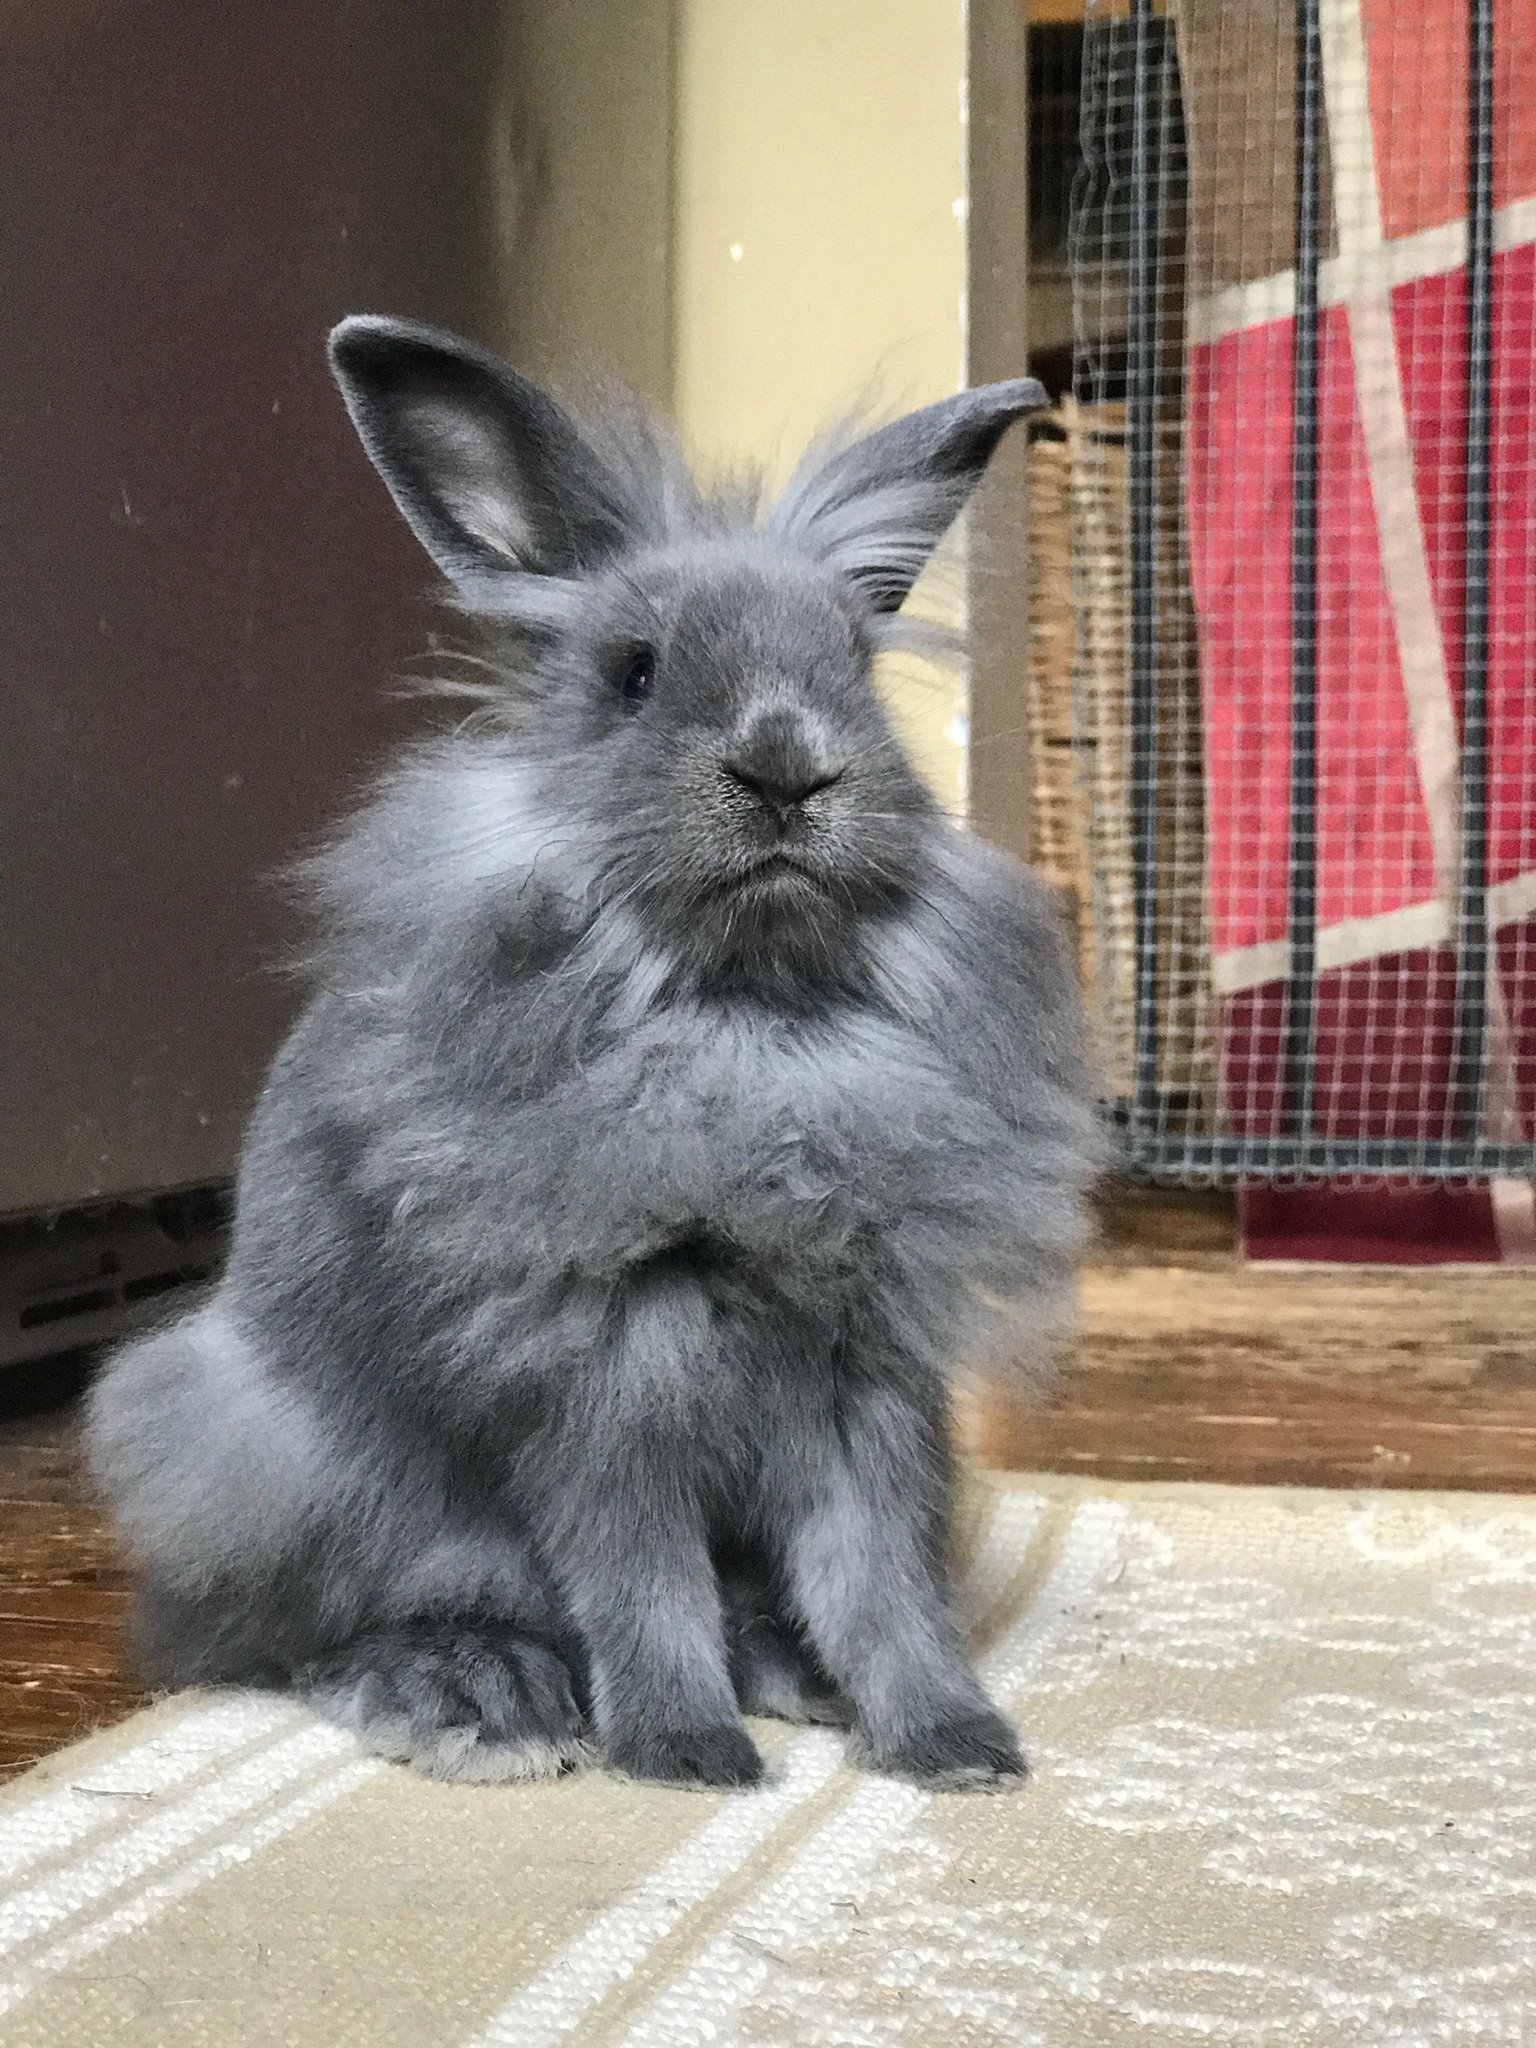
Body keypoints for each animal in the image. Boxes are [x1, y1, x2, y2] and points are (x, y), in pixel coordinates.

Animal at [86, 316, 1100, 1792]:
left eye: (856, 670)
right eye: (634, 671)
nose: (786, 768)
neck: (746, 1026)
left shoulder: (869, 1376)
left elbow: (882, 1581)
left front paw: (955, 1746)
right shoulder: (602, 1374)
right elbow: (639, 1576)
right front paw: (688, 1752)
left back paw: (785, 1671)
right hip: (269, 1457)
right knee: (290, 1633)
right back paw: (478, 1697)